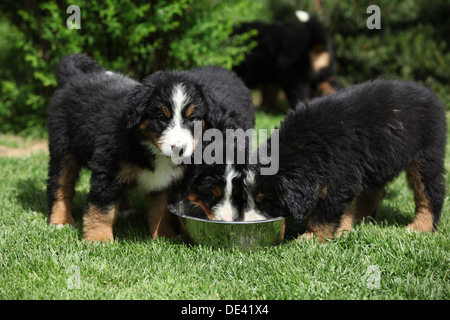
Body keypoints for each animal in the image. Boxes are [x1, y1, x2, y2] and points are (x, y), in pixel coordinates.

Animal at [241, 80, 444, 242]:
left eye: (267, 203)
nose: (250, 222)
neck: (304, 145)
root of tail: (429, 94)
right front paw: (343, 230)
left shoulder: (340, 177)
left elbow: (323, 214)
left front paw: (311, 237)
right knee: (373, 192)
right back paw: (360, 219)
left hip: (427, 154)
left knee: (430, 192)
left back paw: (420, 227)